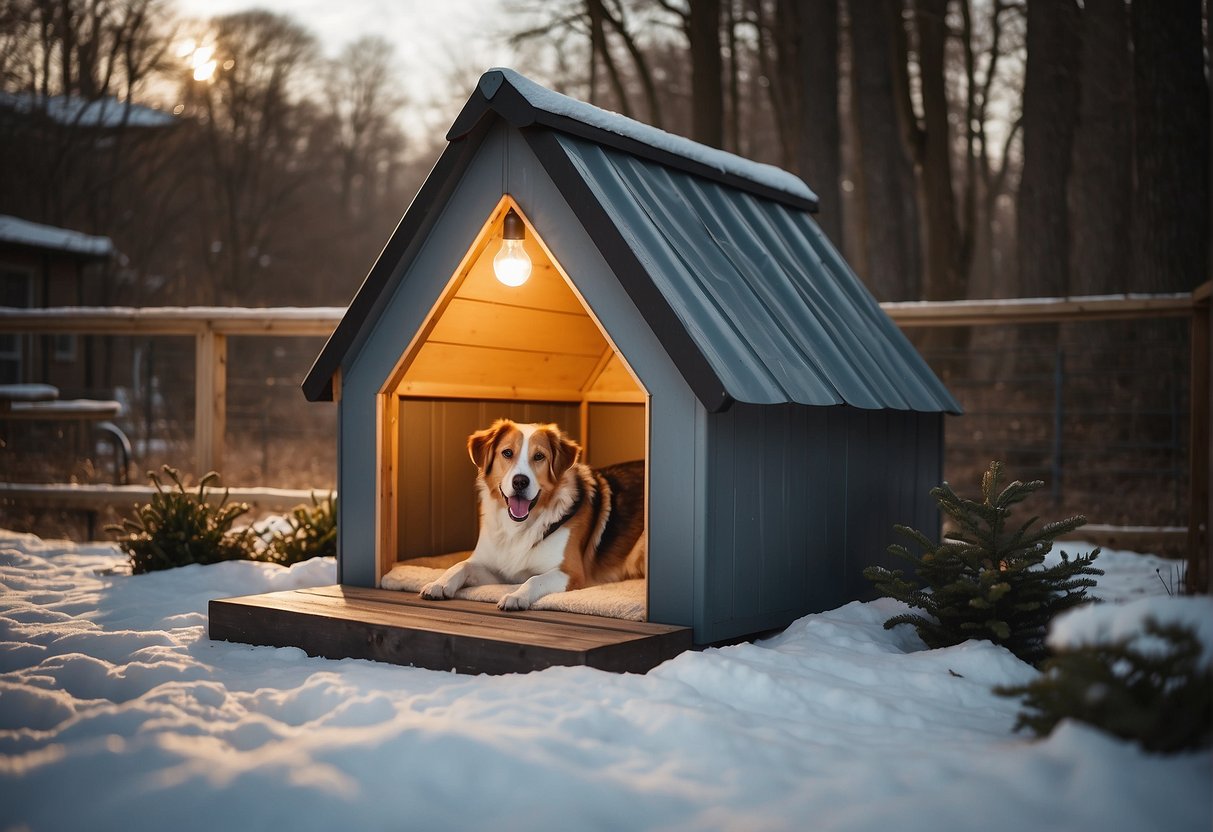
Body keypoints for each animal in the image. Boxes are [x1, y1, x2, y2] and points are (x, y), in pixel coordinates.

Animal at [417, 424, 645, 613]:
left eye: (539, 456)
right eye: (507, 453)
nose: (520, 482)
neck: (517, 527)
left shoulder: (571, 573)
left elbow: (535, 579)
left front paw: (516, 596)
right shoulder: (500, 571)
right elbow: (462, 565)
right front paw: (439, 584)